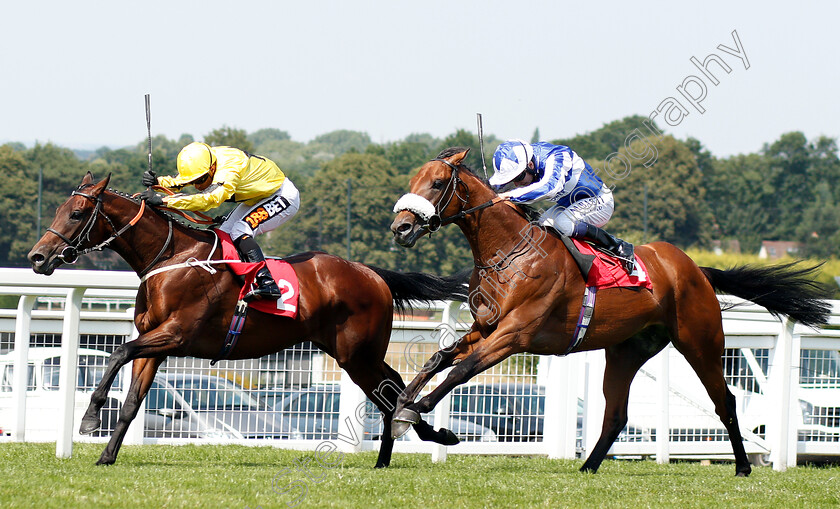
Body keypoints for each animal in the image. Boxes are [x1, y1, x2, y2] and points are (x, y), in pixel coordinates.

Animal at [29, 173, 470, 466]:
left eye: (77, 213)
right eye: (60, 209)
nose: (38, 257)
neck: (172, 258)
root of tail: (374, 273)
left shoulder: (175, 334)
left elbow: (117, 352)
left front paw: (89, 418)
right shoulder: (156, 342)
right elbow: (133, 400)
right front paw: (106, 456)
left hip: (355, 353)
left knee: (389, 391)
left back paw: (422, 436)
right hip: (353, 352)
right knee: (392, 387)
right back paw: (396, 451)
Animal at [390, 148, 832, 476]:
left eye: (437, 183)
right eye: (413, 181)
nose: (401, 228)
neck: (510, 252)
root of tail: (696, 269)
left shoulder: (515, 334)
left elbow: (462, 371)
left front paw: (419, 412)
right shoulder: (486, 327)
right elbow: (438, 359)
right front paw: (404, 406)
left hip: (700, 342)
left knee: (725, 400)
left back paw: (742, 466)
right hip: (626, 351)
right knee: (616, 414)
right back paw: (588, 466)